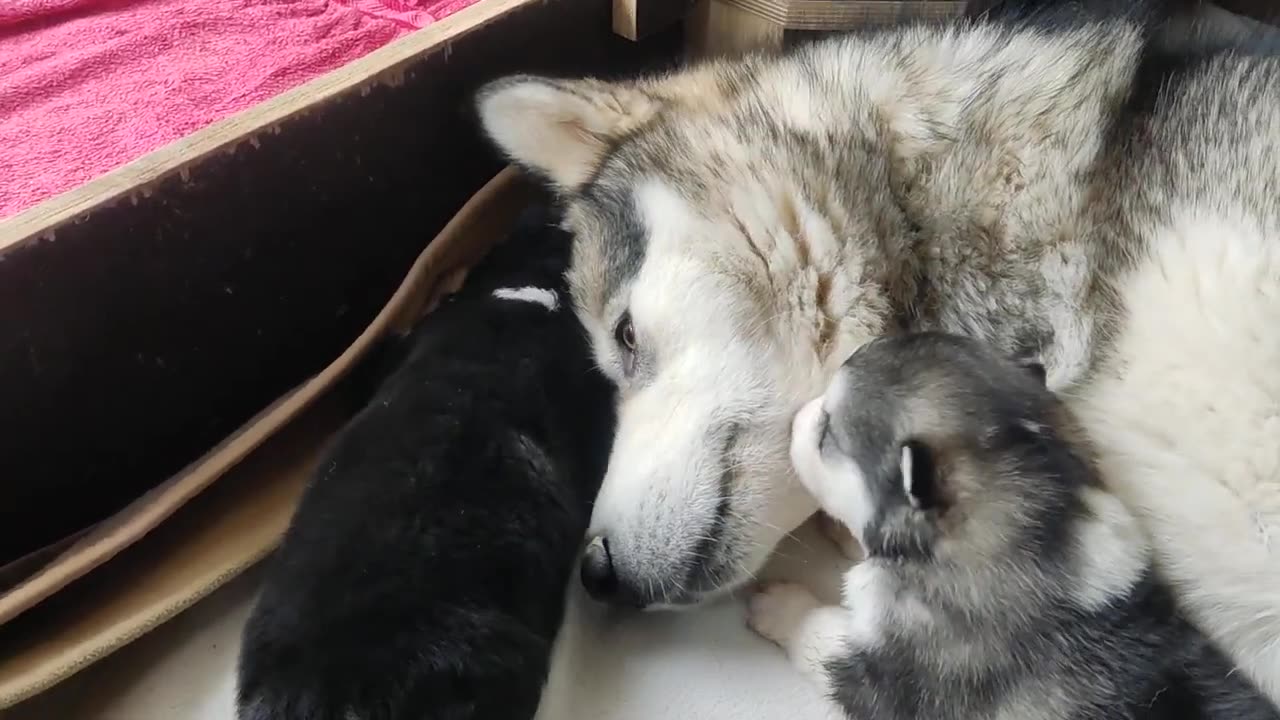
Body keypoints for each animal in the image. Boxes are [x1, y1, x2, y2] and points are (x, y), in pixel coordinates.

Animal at [747, 333, 1280, 717]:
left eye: (826, 434)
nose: (794, 419)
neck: (1045, 521)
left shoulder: (899, 674)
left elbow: (824, 636)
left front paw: (779, 605)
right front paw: (845, 532)